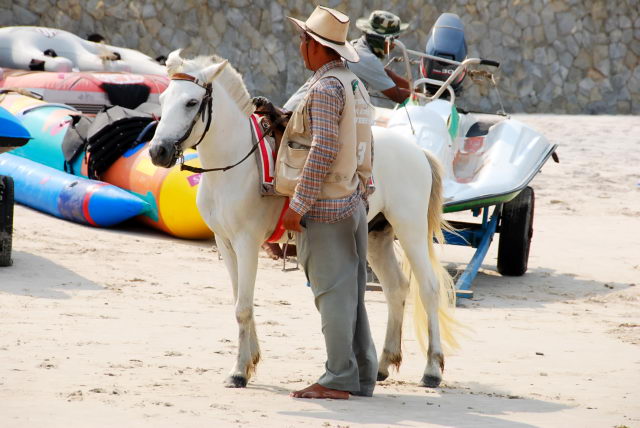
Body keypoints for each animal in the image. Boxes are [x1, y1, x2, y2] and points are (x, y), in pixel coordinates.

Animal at [148, 51, 458, 390]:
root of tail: (418, 151)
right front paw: (251, 361)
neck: (236, 164)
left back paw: (432, 369)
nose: (157, 151)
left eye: (191, 102)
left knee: (428, 288)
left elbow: (243, 307)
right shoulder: (225, 243)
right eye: (162, 99)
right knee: (396, 288)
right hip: (379, 237)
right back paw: (384, 365)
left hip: (411, 230)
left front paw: (239, 371)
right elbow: (240, 301)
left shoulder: (246, 243)